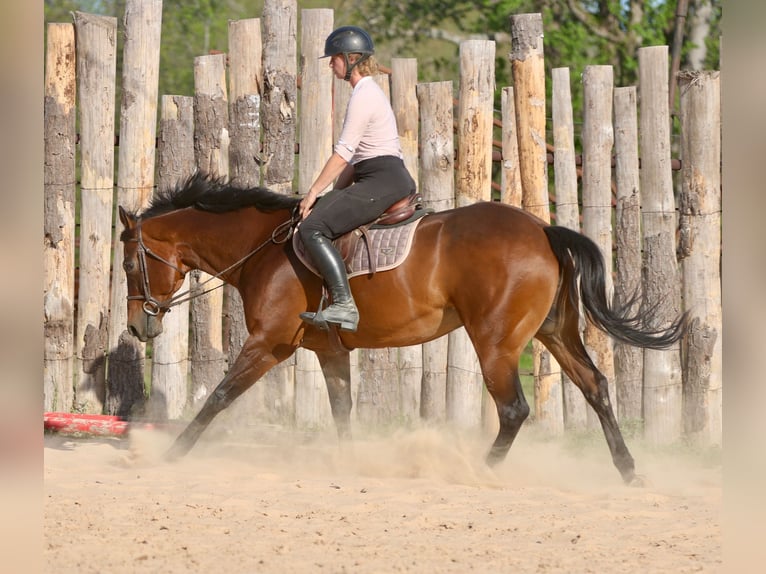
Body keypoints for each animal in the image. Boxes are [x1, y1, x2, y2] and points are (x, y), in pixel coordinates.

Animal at [118, 175, 686, 485]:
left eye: (127, 265)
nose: (138, 326)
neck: (266, 249)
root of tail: (543, 230)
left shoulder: (267, 345)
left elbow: (218, 397)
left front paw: (172, 454)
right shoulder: (329, 351)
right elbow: (342, 409)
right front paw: (349, 463)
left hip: (496, 343)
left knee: (514, 409)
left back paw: (480, 469)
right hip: (554, 333)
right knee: (595, 387)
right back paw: (628, 470)